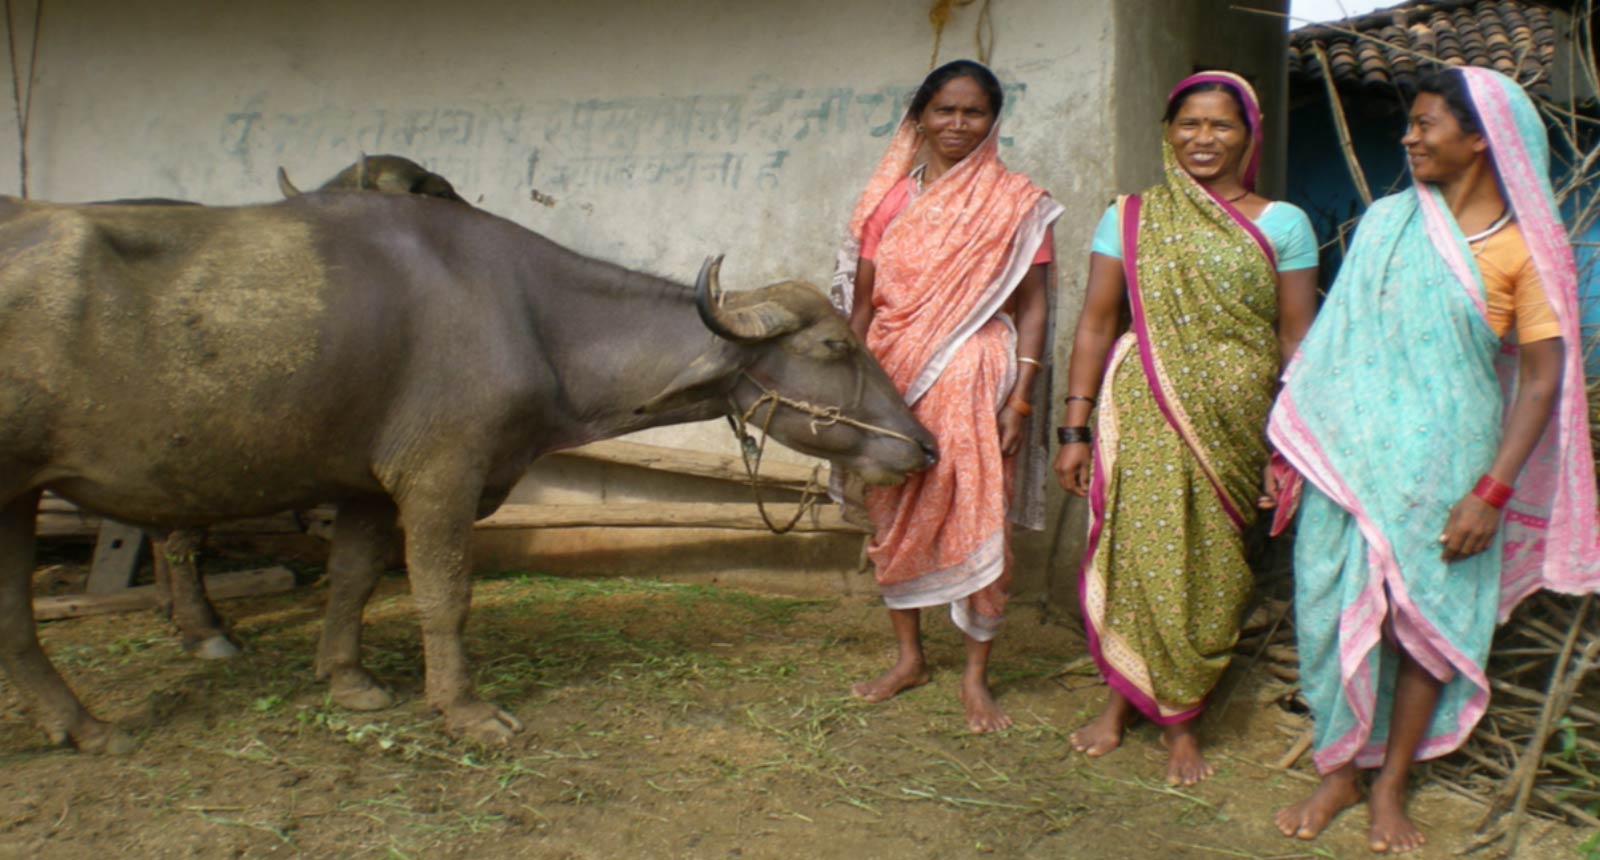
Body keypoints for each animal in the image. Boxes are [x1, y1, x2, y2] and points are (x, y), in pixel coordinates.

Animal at [0, 189, 934, 748]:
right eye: (834, 345)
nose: (922, 446)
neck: (532, 318)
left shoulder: (366, 485)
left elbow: (352, 579)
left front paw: (349, 681)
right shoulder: (441, 474)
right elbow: (443, 593)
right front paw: (465, 707)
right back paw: (96, 719)